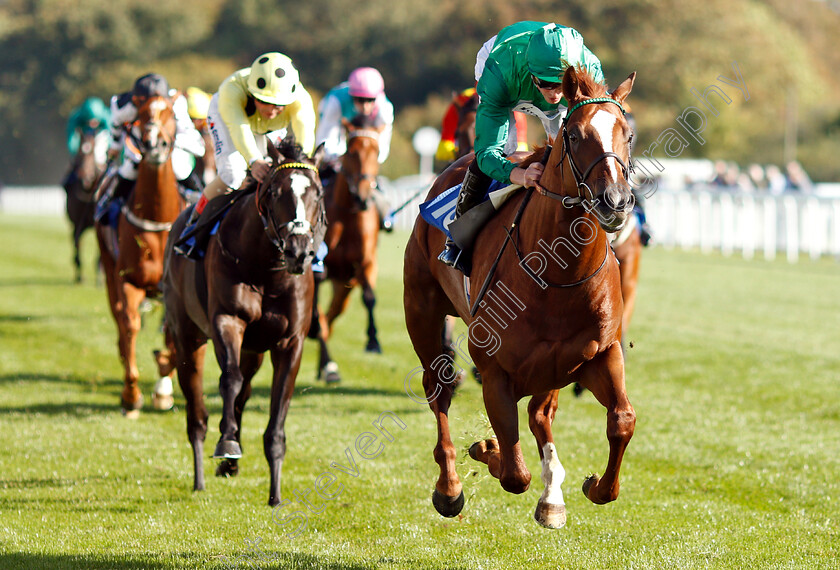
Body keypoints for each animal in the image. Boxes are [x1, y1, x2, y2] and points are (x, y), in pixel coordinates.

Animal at [64, 127, 106, 280]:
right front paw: (79, 274)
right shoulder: (77, 223)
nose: (85, 178)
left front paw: (99, 272)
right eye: (80, 154)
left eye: (92, 153)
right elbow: (77, 243)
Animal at [96, 92, 183, 412]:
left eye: (171, 114)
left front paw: (163, 385)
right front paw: (131, 394)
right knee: (120, 321)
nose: (154, 143)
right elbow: (130, 325)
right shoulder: (128, 279)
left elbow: (172, 336)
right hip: (109, 271)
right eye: (143, 114)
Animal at [162, 138, 326, 502]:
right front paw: (226, 443)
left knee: (244, 392)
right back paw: (201, 474)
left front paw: (275, 494)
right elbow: (229, 379)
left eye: (318, 193)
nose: (298, 251)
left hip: (253, 350)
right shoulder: (227, 320)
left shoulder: (290, 342)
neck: (267, 271)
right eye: (276, 193)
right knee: (197, 411)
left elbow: (277, 406)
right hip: (187, 336)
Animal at [310, 114, 386, 382]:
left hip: (344, 285)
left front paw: (373, 341)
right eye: (351, 152)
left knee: (332, 314)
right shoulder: (318, 267)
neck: (347, 213)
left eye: (377, 151)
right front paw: (328, 364)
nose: (363, 198)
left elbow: (370, 297)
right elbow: (316, 314)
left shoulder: (366, 263)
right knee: (323, 317)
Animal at [406, 67, 636, 528]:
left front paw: (593, 486)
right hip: (421, 311)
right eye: (575, 135)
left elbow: (622, 420)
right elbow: (514, 471)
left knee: (540, 415)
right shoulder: (495, 371)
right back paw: (449, 487)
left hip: (553, 369)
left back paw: (552, 497)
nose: (615, 202)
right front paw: (487, 449)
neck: (559, 276)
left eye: (628, 134)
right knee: (438, 389)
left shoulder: (600, 354)